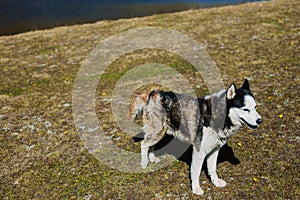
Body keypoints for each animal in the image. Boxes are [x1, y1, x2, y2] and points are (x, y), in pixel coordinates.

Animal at [132, 79, 262, 195]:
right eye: (245, 109)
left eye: (255, 107)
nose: (260, 120)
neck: (219, 115)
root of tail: (155, 92)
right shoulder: (199, 152)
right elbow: (196, 172)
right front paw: (196, 189)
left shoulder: (214, 150)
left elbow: (212, 169)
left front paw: (216, 182)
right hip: (158, 132)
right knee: (144, 144)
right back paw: (144, 163)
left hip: (159, 132)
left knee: (150, 145)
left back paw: (152, 158)